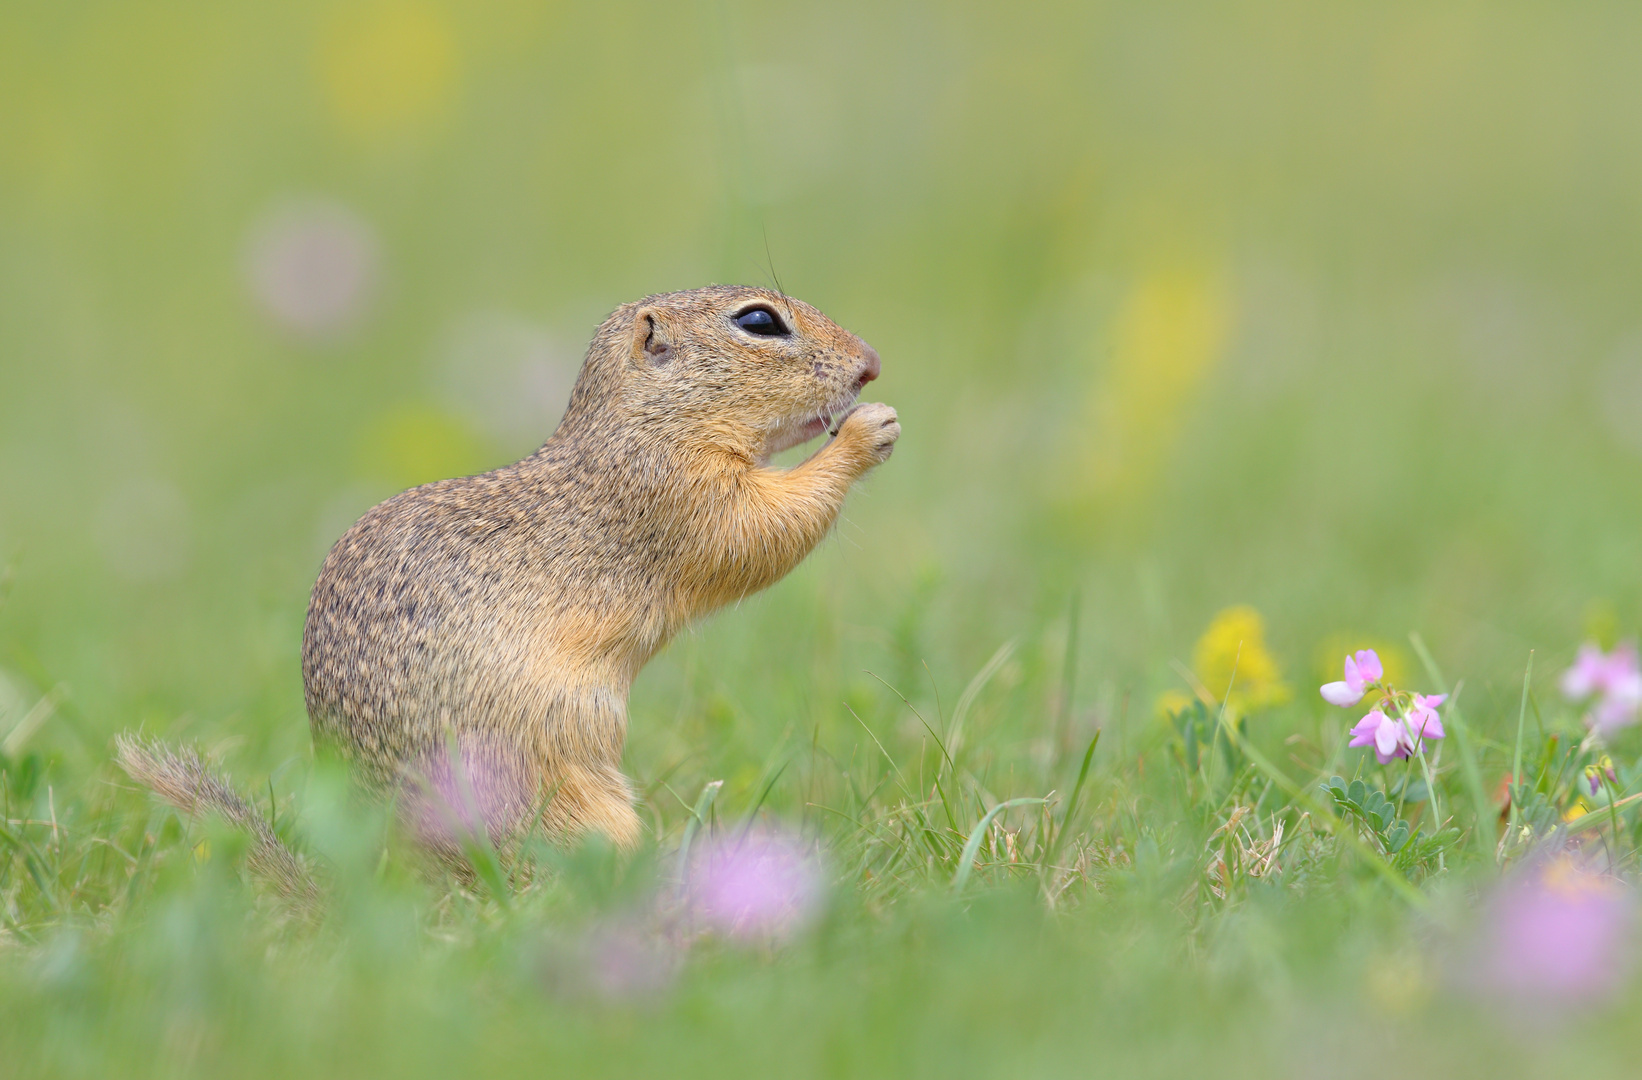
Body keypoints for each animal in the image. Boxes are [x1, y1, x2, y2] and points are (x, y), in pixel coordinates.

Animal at [298, 283, 899, 846]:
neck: (642, 422)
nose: (872, 363)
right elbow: (762, 529)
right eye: (759, 322)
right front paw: (869, 430)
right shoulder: (677, 492)